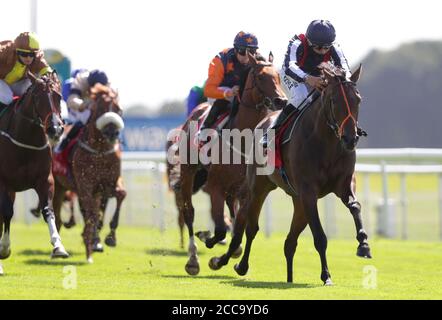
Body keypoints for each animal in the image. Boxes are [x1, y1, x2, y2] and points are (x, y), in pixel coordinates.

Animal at [0, 71, 68, 274]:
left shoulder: (45, 180)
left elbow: (48, 210)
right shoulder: (3, 182)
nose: (55, 129)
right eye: (38, 98)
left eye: (58, 96)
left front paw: (58, 246)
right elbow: (7, 212)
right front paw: (4, 248)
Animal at [52, 84, 123, 264]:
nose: (112, 133)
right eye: (101, 109)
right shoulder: (85, 185)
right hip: (58, 186)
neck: (99, 151)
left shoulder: (108, 184)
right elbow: (90, 214)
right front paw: (89, 242)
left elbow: (120, 195)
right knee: (58, 215)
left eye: (118, 109)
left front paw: (110, 238)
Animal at [173, 53, 286, 276]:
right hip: (189, 171)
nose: (282, 100)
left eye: (278, 75)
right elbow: (219, 229)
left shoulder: (247, 191)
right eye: (261, 77)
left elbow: (236, 228)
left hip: (233, 188)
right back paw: (193, 258)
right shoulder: (215, 186)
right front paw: (207, 241)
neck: (243, 138)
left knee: (230, 210)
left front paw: (223, 253)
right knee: (188, 211)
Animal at [209, 63, 372, 284]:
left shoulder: (343, 184)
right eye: (333, 100)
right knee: (250, 226)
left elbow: (355, 206)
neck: (327, 142)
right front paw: (326, 275)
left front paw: (363, 244)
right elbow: (319, 236)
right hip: (259, 187)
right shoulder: (308, 192)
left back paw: (288, 277)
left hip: (298, 201)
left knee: (289, 242)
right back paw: (238, 264)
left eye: (358, 99)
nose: (350, 139)